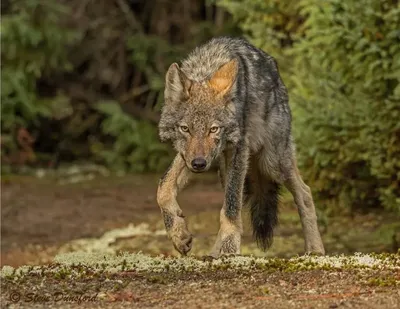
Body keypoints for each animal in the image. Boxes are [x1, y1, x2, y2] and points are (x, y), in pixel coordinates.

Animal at [156, 36, 324, 258]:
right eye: (185, 129)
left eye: (213, 129)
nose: (199, 164)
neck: (207, 67)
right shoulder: (187, 155)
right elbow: (163, 188)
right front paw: (179, 235)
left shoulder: (239, 148)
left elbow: (231, 209)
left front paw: (230, 250)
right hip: (227, 168)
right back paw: (213, 254)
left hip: (271, 164)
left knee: (304, 193)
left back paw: (315, 249)